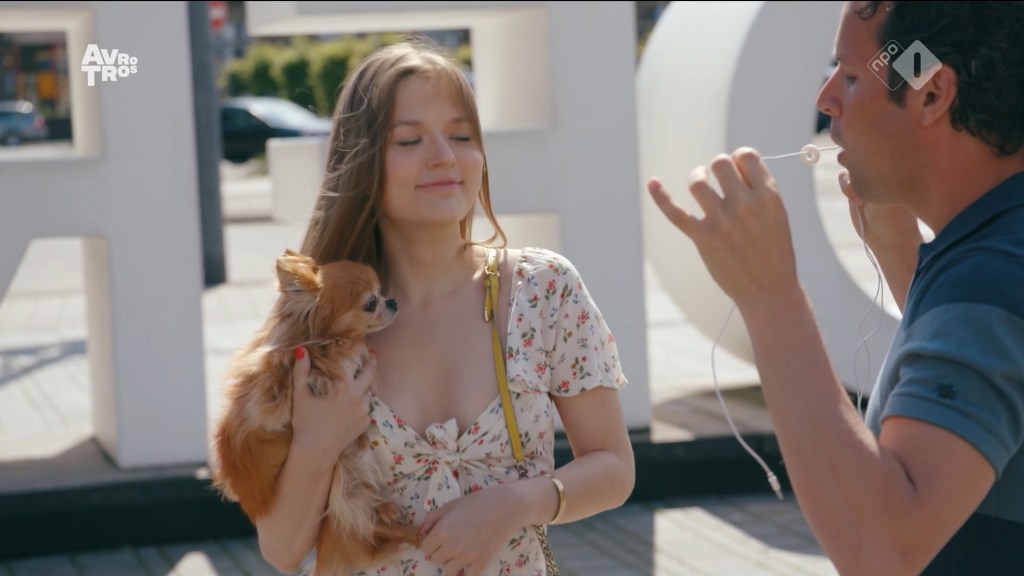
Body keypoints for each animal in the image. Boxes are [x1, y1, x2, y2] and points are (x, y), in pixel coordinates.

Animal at [212, 249, 419, 574]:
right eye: (371, 302)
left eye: (382, 291)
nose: (393, 302)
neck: (327, 344)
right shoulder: (262, 386)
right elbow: (271, 387)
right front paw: (311, 382)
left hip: (348, 470)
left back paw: (390, 513)